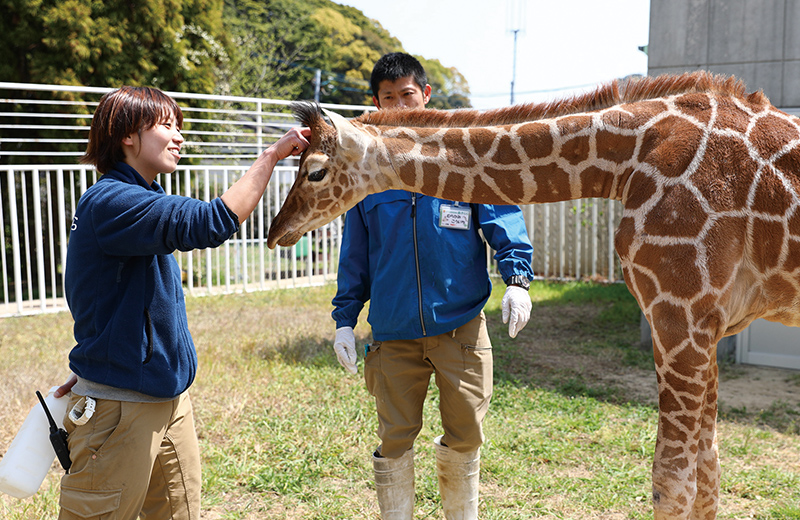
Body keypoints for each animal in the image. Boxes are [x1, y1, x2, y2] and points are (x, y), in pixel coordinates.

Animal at [266, 70, 800, 520]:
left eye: (314, 171)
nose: (275, 231)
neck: (628, 159)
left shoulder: (680, 313)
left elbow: (672, 483)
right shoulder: (706, 323)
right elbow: (708, 475)